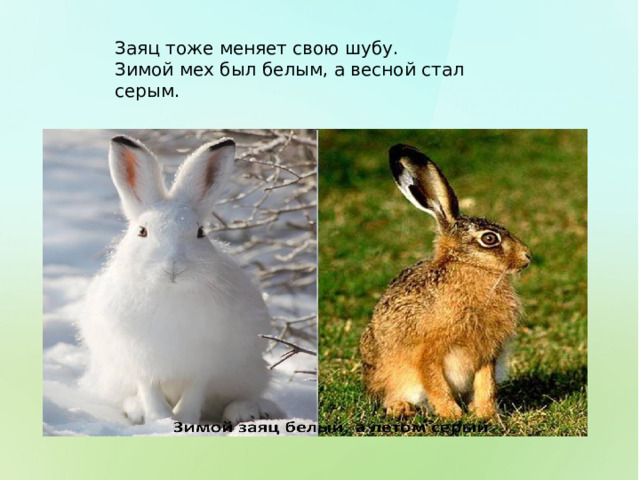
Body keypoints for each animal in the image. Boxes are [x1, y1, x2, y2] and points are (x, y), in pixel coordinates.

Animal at [78, 135, 283, 426]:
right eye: (142, 231)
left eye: (200, 232)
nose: (173, 267)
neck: (170, 292)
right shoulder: (140, 361)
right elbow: (149, 390)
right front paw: (160, 420)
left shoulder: (204, 363)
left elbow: (194, 391)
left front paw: (184, 420)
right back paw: (136, 410)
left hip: (249, 372)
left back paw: (246, 411)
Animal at [359, 144, 531, 421]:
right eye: (490, 239)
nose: (527, 256)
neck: (469, 268)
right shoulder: (428, 351)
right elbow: (434, 382)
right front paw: (452, 415)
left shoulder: (487, 352)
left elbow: (486, 383)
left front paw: (486, 414)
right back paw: (401, 408)